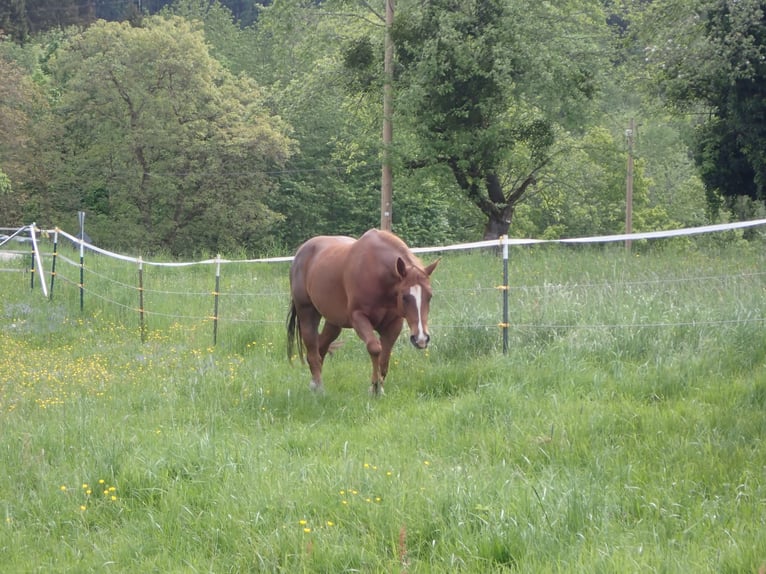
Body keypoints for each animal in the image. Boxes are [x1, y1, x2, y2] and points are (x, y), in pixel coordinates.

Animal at [286, 229, 439, 395]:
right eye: (404, 297)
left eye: (430, 296)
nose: (421, 339)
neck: (377, 275)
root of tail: (301, 252)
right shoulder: (358, 318)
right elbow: (375, 348)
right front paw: (375, 387)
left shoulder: (394, 324)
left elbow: (385, 358)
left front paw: (378, 389)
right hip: (307, 312)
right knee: (312, 349)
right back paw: (319, 387)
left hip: (334, 322)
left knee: (320, 346)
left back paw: (314, 384)